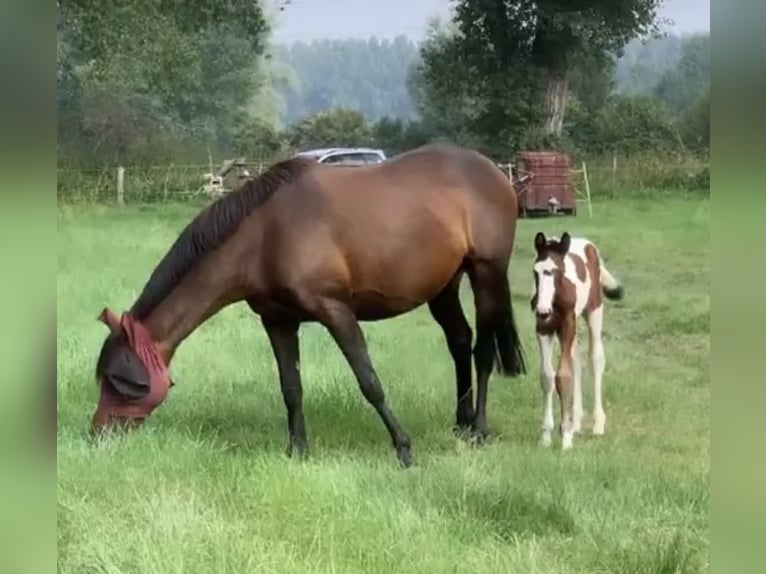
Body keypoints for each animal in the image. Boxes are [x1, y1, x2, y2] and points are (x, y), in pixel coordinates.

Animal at [91, 143, 528, 468]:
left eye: (122, 380)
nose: (98, 433)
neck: (266, 234)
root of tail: (495, 172)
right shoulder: (278, 321)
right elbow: (291, 387)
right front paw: (297, 450)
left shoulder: (336, 311)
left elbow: (369, 382)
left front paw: (403, 448)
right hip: (443, 286)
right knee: (460, 341)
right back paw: (461, 421)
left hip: (487, 274)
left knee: (482, 348)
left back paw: (479, 428)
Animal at [536, 232, 624, 452]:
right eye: (536, 272)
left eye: (555, 271)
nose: (542, 310)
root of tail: (590, 245)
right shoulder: (544, 329)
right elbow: (547, 376)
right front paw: (546, 435)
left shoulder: (567, 325)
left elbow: (563, 375)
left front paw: (565, 437)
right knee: (576, 359)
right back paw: (576, 422)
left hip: (594, 312)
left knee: (595, 359)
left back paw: (598, 425)